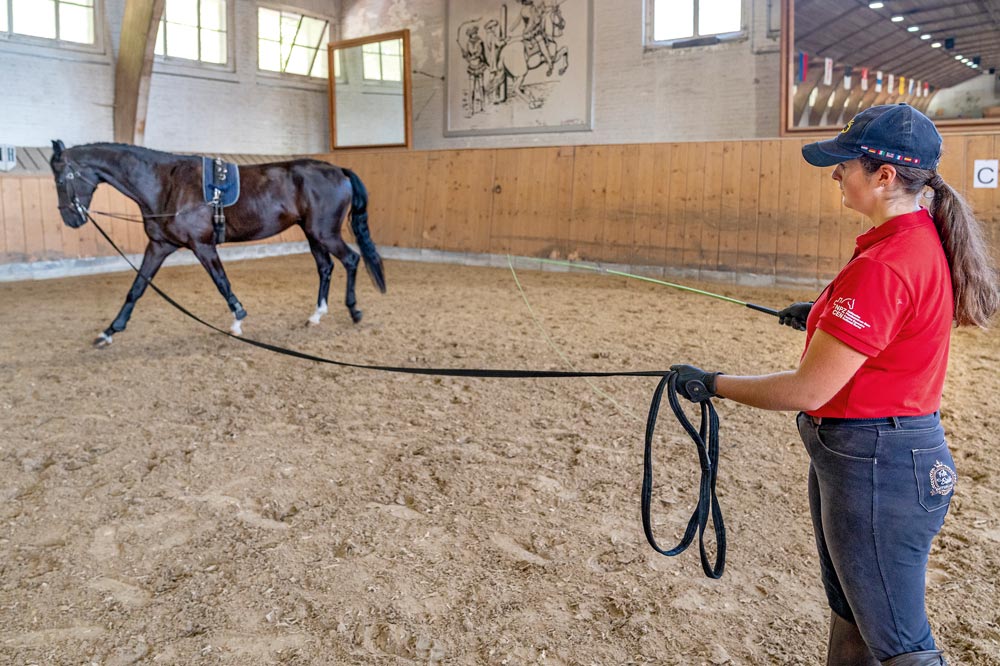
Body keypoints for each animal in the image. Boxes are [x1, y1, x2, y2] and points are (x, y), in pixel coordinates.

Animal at [48, 141, 388, 348]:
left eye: (60, 178)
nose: (70, 218)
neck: (166, 184)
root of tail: (338, 170)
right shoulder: (159, 245)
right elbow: (137, 287)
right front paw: (109, 331)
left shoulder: (202, 245)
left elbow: (221, 282)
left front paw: (237, 320)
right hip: (312, 233)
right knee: (326, 267)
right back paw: (317, 314)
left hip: (324, 232)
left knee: (351, 260)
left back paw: (354, 311)